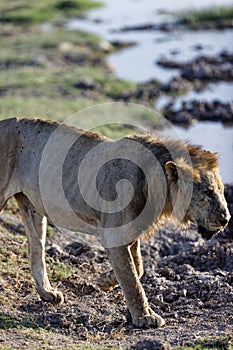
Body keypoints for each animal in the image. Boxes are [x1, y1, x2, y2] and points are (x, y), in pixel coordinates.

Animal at [0, 118, 229, 328]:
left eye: (222, 190)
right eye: (208, 192)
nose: (226, 219)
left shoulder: (132, 232)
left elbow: (137, 267)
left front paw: (105, 281)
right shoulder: (114, 236)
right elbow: (131, 278)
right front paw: (145, 317)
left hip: (32, 208)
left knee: (36, 251)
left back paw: (48, 293)